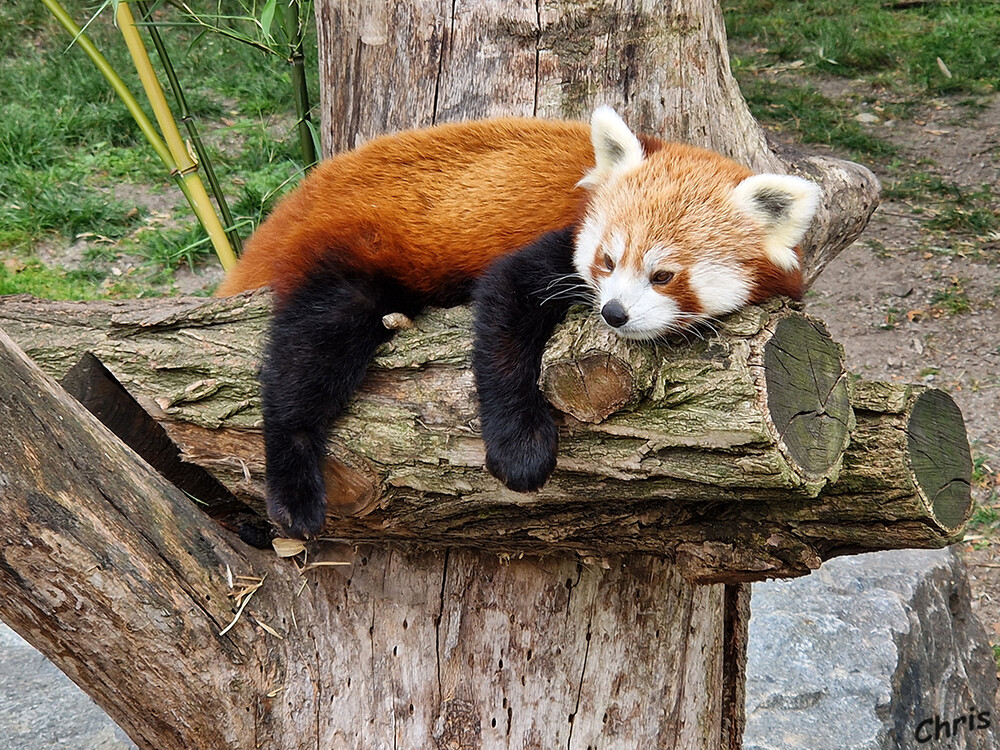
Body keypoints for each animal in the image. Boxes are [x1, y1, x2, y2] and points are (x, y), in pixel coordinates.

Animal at [219, 107, 820, 540]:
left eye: (663, 275)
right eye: (607, 260)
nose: (614, 313)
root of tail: (296, 203)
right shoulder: (554, 243)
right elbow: (506, 316)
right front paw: (520, 450)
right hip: (348, 251)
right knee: (308, 355)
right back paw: (292, 489)